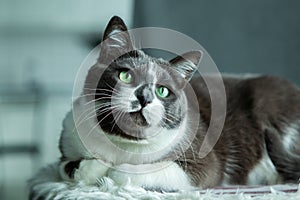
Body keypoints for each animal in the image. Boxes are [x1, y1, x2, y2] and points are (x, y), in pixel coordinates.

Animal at [55, 15, 298, 191]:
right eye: (125, 75)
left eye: (162, 91)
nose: (144, 97)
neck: (123, 145)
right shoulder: (68, 137)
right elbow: (65, 165)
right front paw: (95, 167)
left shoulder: (203, 156)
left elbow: (163, 170)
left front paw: (115, 171)